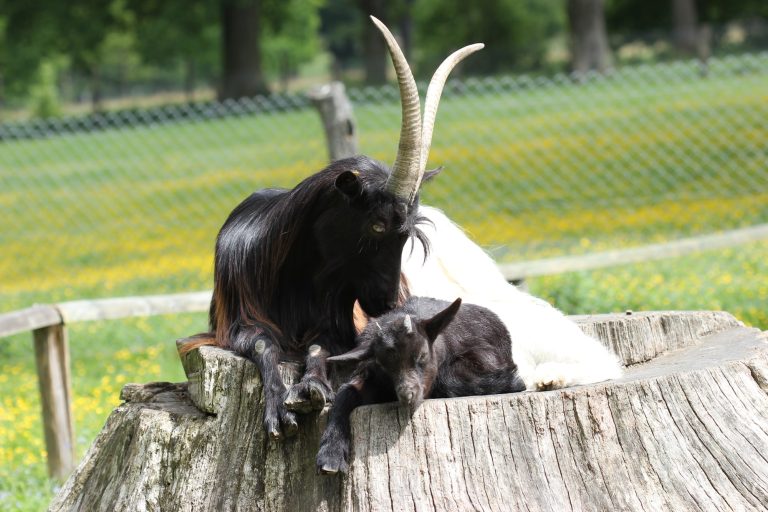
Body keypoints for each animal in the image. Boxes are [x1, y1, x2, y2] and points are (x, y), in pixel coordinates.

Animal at [181, 17, 484, 440]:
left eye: (408, 235)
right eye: (377, 225)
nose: (389, 303)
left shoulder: (337, 324)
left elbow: (319, 348)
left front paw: (310, 388)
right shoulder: (236, 322)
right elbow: (263, 347)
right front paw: (278, 411)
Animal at [316, 296, 526, 474]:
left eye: (422, 355)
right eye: (383, 364)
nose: (407, 395)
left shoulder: (485, 356)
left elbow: (448, 379)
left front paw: (515, 382)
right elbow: (346, 392)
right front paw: (330, 454)